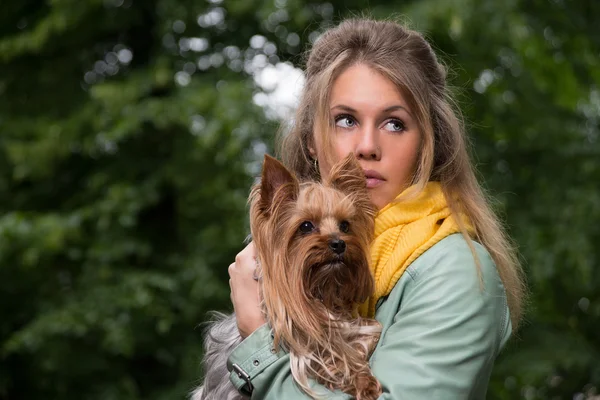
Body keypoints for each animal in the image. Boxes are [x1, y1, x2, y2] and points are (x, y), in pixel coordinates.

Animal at [192, 154, 380, 400]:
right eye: (306, 225)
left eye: (345, 225)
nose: (339, 243)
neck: (320, 288)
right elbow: (326, 348)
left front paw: (362, 379)